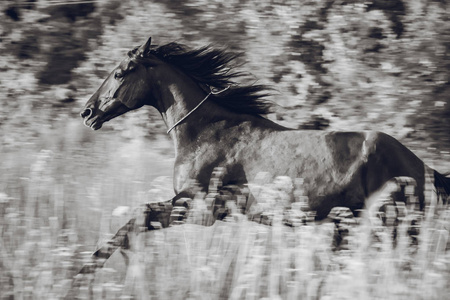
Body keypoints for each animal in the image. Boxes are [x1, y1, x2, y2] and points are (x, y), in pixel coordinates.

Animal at [79, 35, 448, 270]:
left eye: (119, 73)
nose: (88, 112)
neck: (206, 131)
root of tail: (424, 168)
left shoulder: (201, 207)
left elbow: (139, 217)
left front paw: (85, 272)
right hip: (351, 224)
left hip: (392, 224)